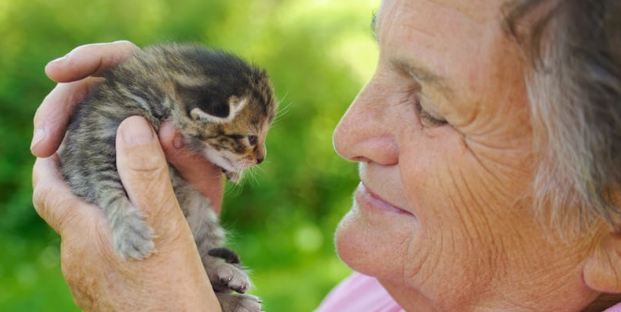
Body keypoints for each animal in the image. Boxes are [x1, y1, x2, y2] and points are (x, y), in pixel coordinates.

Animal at [58, 42, 276, 312]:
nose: (261, 158)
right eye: (251, 138)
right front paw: (130, 232)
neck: (154, 99)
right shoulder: (91, 154)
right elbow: (108, 190)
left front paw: (233, 170)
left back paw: (226, 275)